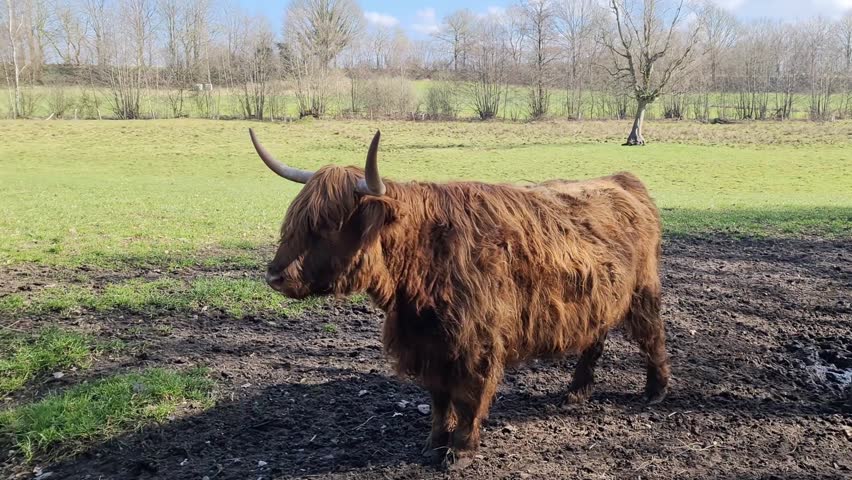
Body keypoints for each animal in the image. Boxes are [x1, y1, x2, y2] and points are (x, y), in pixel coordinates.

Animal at [250, 129, 670, 470]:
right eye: (293, 222)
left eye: (325, 225)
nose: (274, 275)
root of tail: (622, 180)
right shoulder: (429, 346)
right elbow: (439, 401)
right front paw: (434, 446)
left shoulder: (476, 345)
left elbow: (468, 399)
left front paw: (461, 452)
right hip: (598, 298)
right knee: (594, 339)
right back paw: (577, 392)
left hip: (643, 291)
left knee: (652, 337)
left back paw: (656, 391)